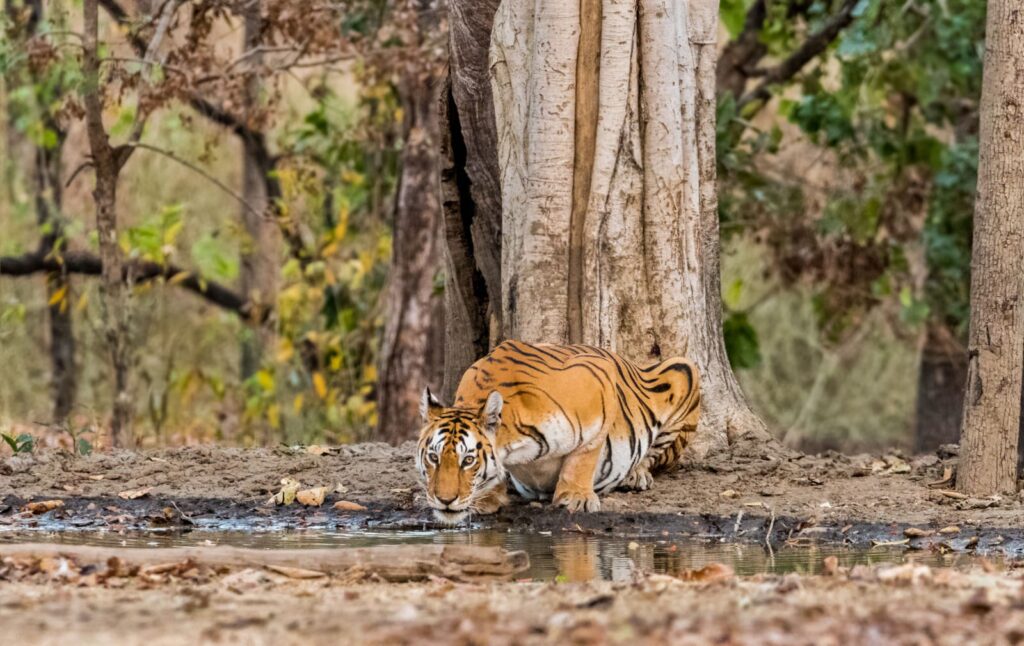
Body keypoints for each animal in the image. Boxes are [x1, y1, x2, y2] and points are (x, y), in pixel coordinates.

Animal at [415, 340, 700, 525]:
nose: (445, 500)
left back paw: (636, 475)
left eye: (468, 460)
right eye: (433, 457)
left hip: (685, 369)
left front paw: (575, 498)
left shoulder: (598, 382)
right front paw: (488, 497)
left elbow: (584, 455)